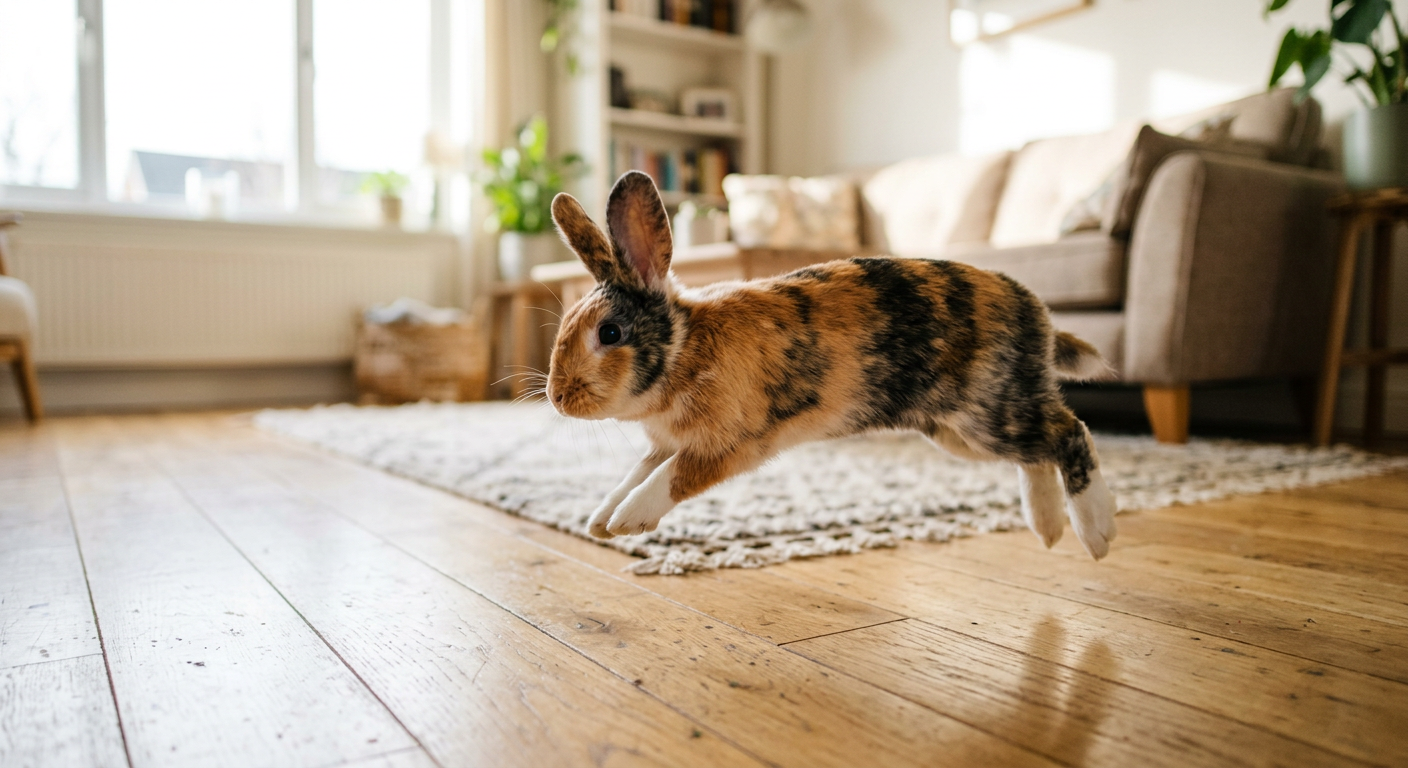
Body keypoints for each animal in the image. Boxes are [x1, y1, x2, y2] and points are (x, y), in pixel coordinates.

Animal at [546, 171, 1117, 559]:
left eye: (610, 334)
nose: (557, 396)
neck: (683, 349)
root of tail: (1038, 314)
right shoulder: (664, 443)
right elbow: (634, 473)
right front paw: (600, 520)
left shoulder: (726, 445)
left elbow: (668, 480)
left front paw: (628, 521)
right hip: (962, 434)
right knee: (1040, 452)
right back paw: (1047, 527)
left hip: (989, 415)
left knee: (1072, 433)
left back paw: (1096, 533)